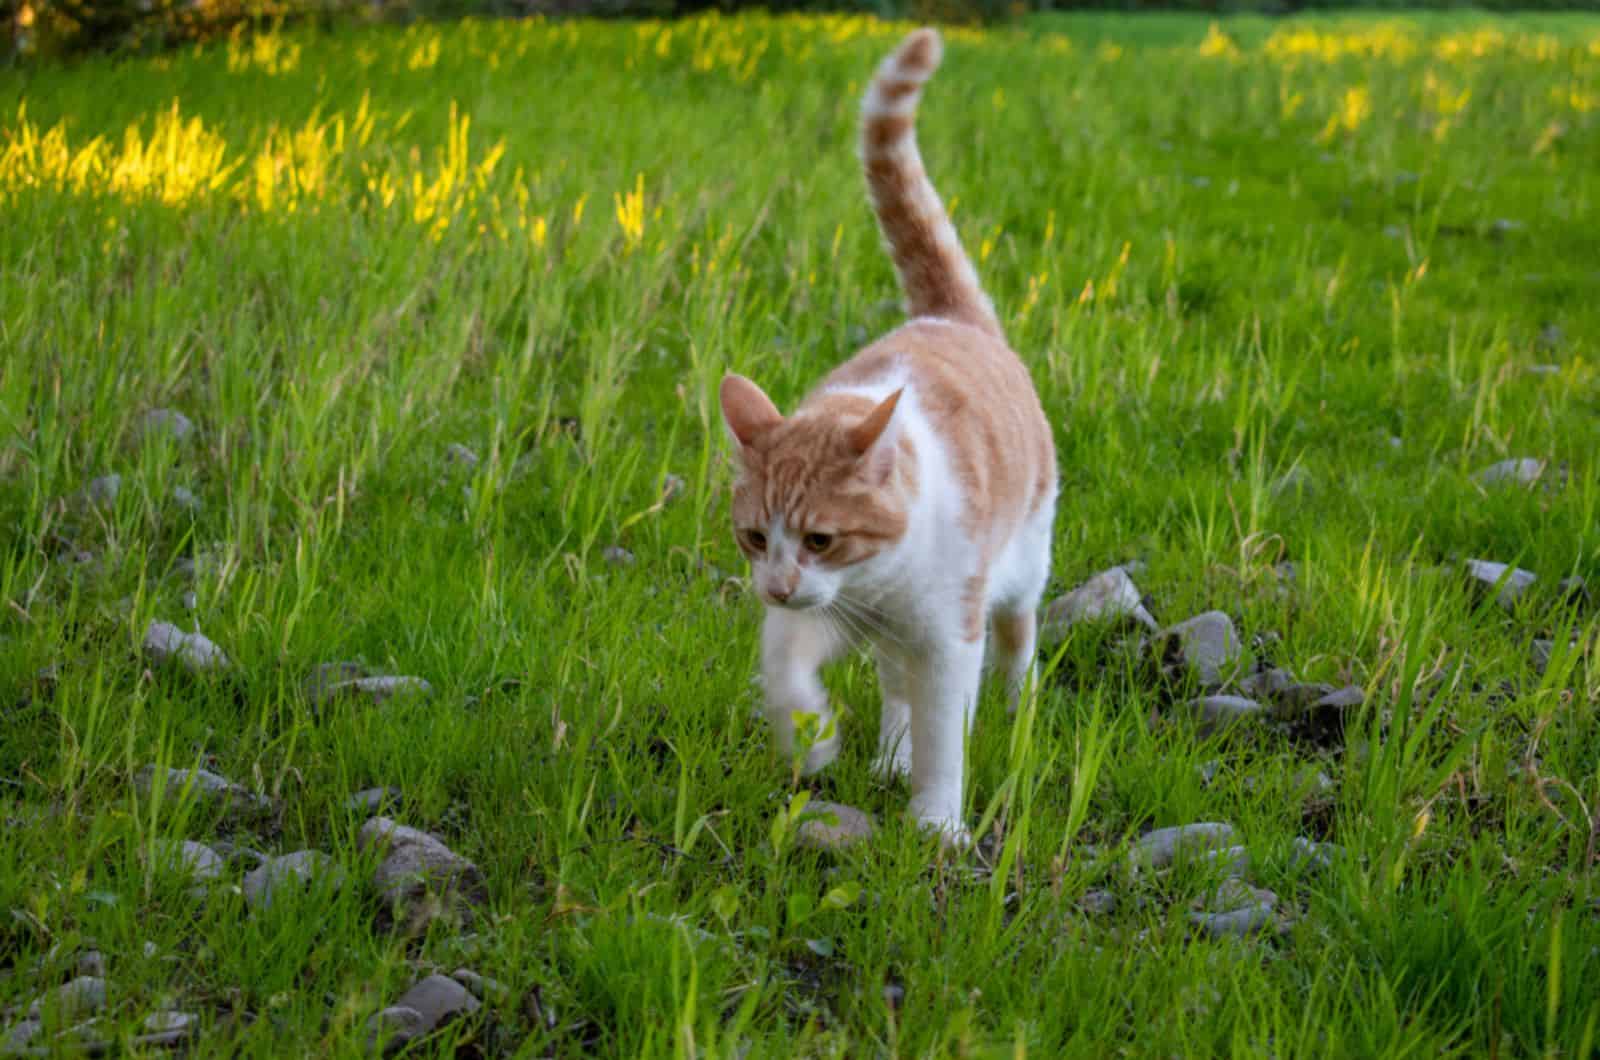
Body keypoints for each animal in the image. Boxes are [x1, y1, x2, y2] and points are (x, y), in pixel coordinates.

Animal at [720, 27, 1056, 845]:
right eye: (754, 537)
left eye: (821, 538)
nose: (777, 585)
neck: (877, 580)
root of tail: (947, 316)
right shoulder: (824, 616)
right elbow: (785, 668)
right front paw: (811, 741)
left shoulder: (947, 633)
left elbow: (945, 729)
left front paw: (936, 823)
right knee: (896, 685)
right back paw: (889, 756)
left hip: (1023, 561)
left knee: (1017, 633)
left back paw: (1015, 705)